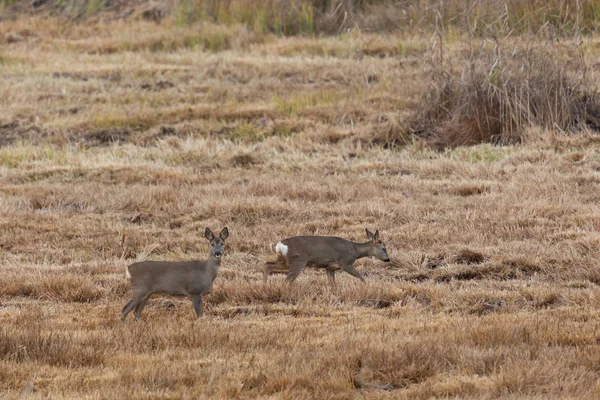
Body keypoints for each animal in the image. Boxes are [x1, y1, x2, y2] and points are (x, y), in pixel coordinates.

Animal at [262, 228, 390, 288]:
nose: (388, 259)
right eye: (384, 248)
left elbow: (333, 284)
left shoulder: (330, 268)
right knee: (286, 280)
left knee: (267, 264)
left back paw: (265, 285)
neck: (355, 250)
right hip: (298, 261)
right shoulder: (345, 263)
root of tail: (280, 245)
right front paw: (367, 286)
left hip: (285, 261)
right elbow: (361, 277)